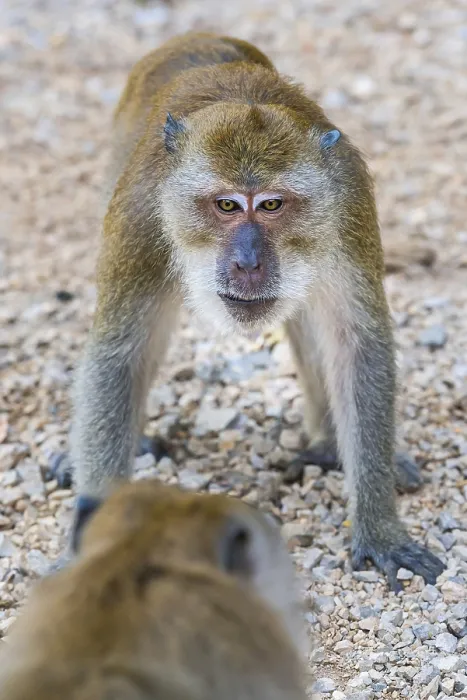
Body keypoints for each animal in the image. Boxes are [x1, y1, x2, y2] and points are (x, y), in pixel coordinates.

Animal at [65, 31, 444, 591]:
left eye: (270, 205)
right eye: (226, 205)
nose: (247, 261)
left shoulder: (348, 204)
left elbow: (356, 345)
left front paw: (379, 527)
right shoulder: (139, 214)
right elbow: (120, 355)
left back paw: (330, 445)